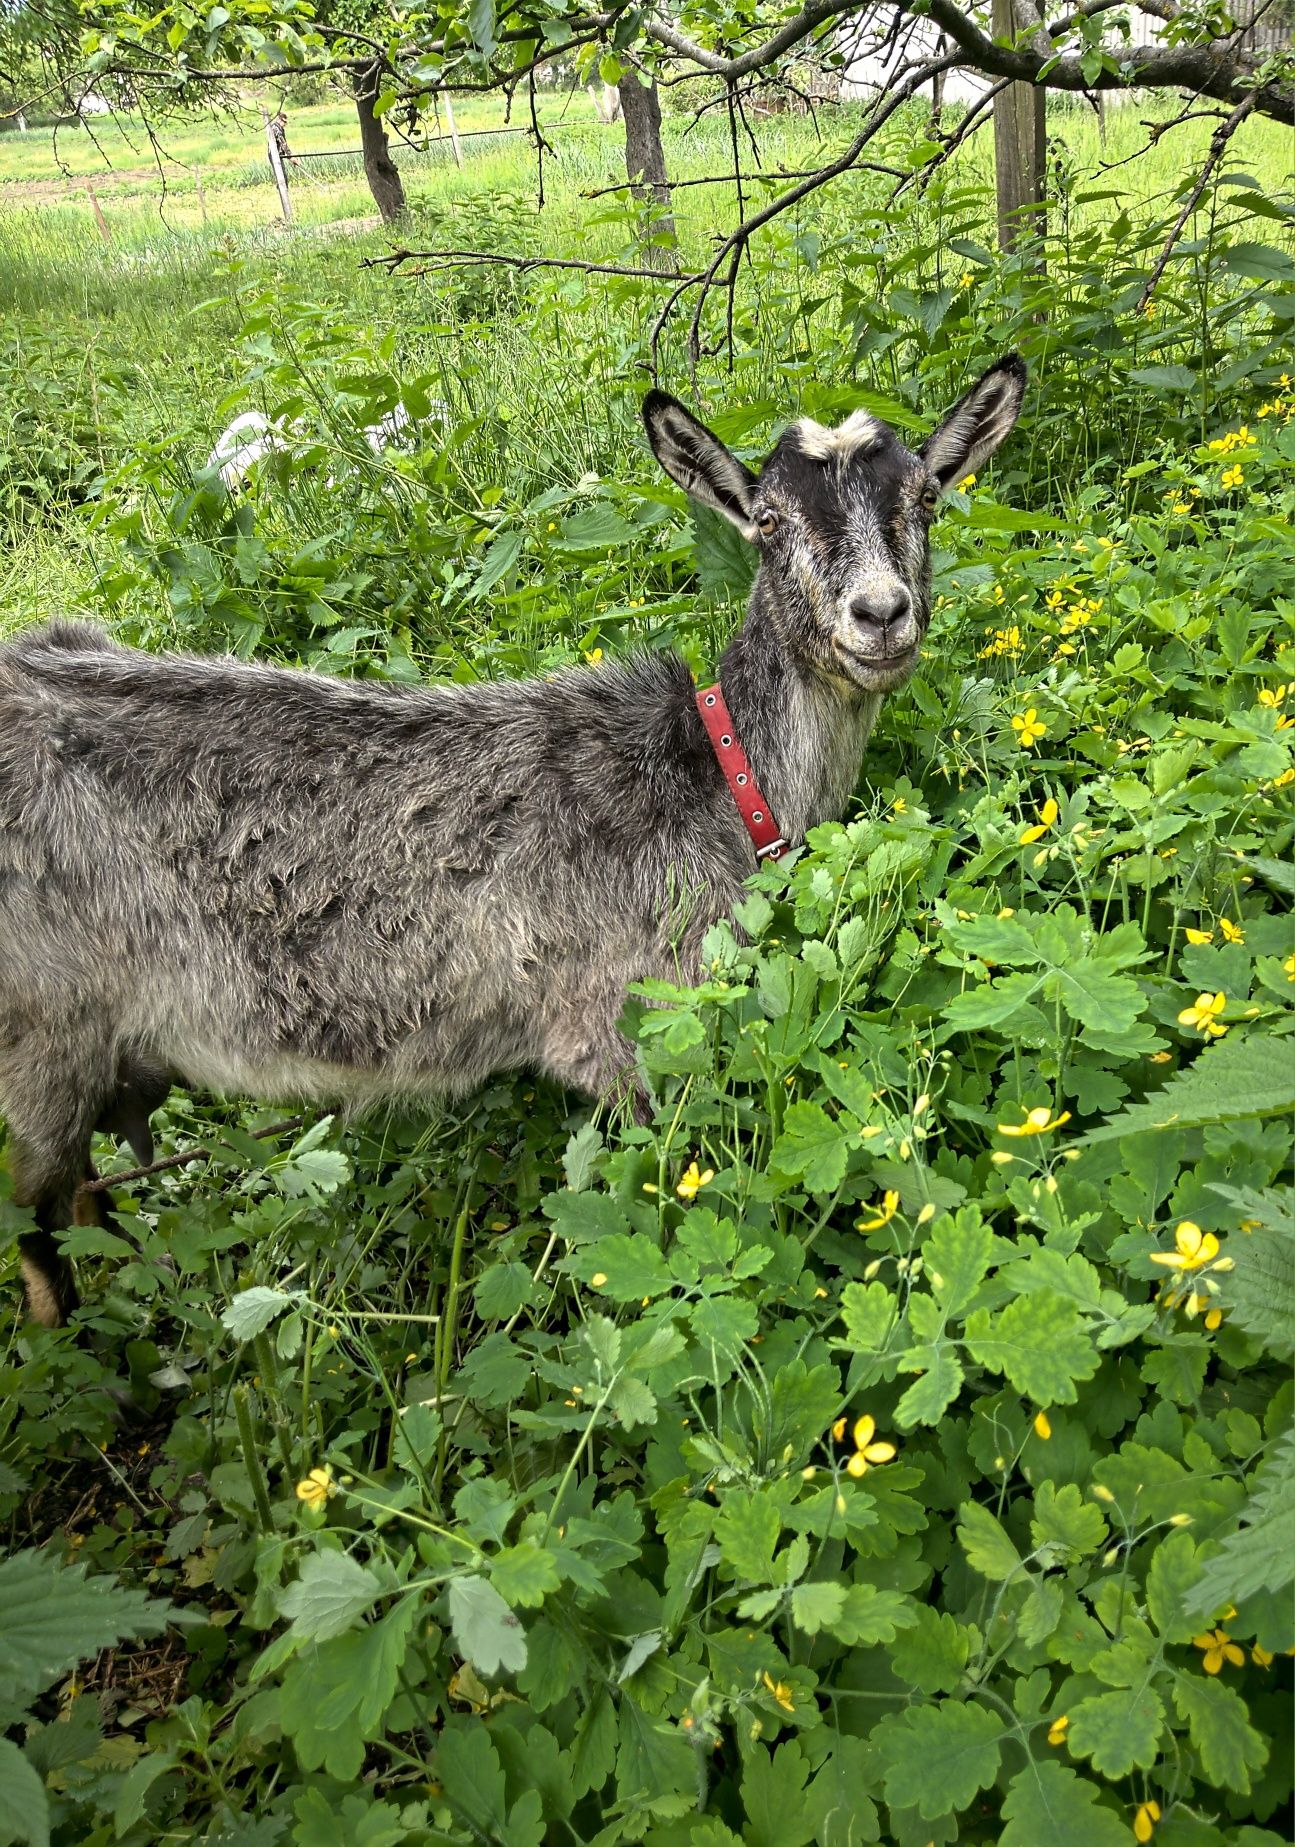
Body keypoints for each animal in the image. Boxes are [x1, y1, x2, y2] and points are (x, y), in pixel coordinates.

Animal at [5, 352, 1027, 1322]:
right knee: (38, 1237)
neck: (718, 779)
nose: (879, 614)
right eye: (768, 521)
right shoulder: (623, 1029)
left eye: (924, 498)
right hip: (38, 1050)